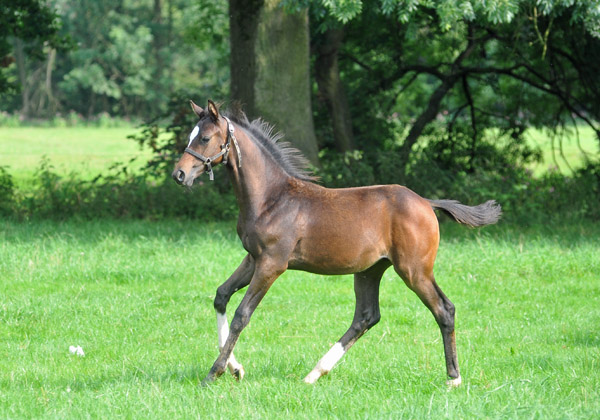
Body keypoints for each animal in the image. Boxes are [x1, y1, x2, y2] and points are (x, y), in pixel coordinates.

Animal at [171, 100, 500, 386]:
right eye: (191, 136)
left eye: (205, 138)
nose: (179, 174)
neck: (271, 198)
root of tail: (427, 203)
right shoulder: (253, 258)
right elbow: (221, 295)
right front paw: (235, 368)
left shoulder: (272, 264)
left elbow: (242, 315)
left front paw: (214, 373)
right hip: (370, 270)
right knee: (366, 316)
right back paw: (314, 374)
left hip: (414, 270)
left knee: (444, 309)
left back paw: (454, 378)